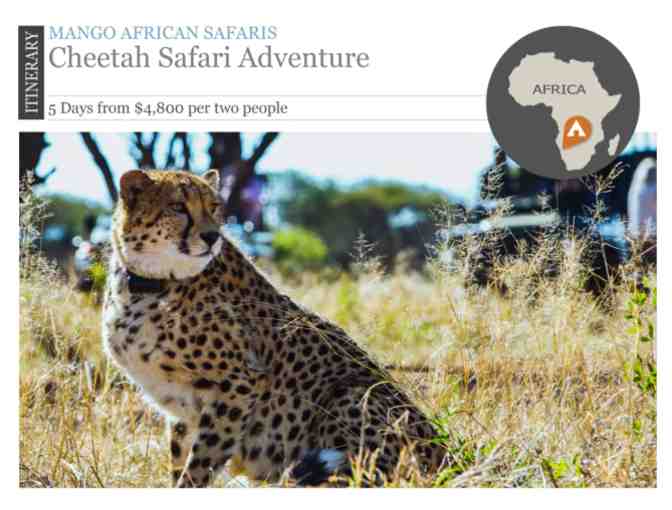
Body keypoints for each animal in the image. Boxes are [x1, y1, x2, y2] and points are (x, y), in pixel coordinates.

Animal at [102, 169, 446, 487]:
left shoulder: (239, 384)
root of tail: (447, 454)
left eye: (213, 207)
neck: (146, 283)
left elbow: (200, 466)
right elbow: (181, 462)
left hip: (352, 395)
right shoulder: (183, 408)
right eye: (177, 207)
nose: (212, 237)